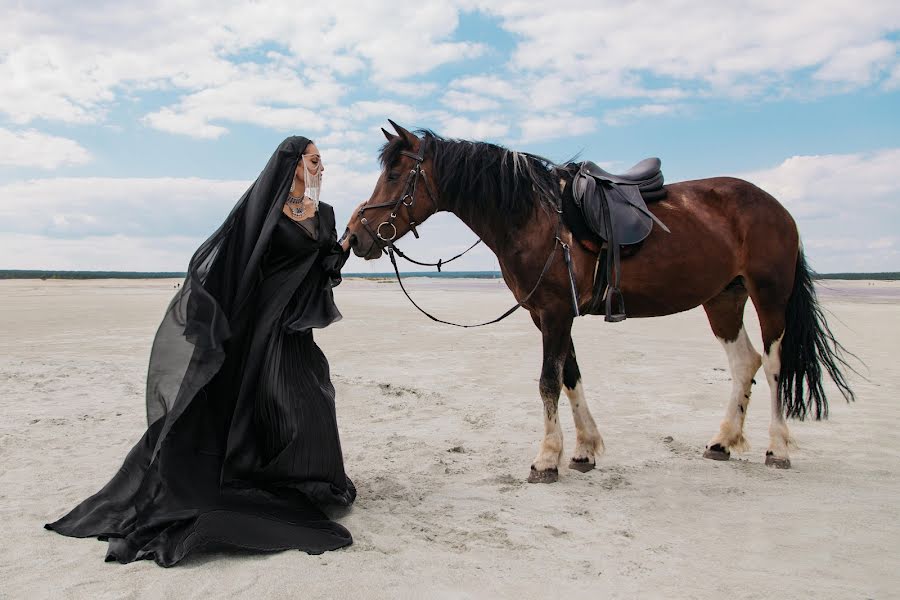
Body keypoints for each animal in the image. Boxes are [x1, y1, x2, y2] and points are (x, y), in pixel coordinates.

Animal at [342, 120, 856, 482]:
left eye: (394, 173)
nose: (354, 237)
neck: (534, 217)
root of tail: (776, 206)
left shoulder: (554, 313)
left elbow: (549, 382)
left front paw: (546, 459)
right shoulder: (550, 316)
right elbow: (571, 377)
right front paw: (584, 450)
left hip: (769, 296)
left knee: (773, 365)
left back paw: (777, 448)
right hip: (723, 299)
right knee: (743, 363)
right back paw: (723, 441)